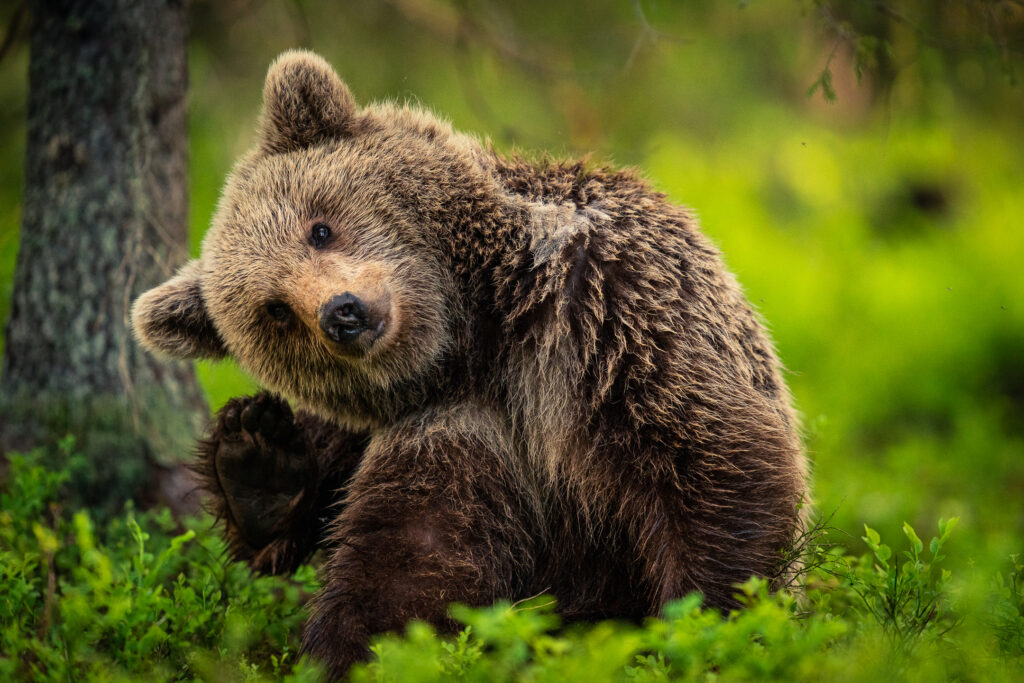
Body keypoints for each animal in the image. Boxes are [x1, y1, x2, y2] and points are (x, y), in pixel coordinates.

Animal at [131, 50, 808, 679]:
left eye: (319, 228)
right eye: (274, 309)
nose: (342, 313)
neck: (479, 336)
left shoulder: (604, 315)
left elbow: (713, 459)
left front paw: (707, 626)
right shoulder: (449, 423)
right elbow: (410, 558)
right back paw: (258, 459)